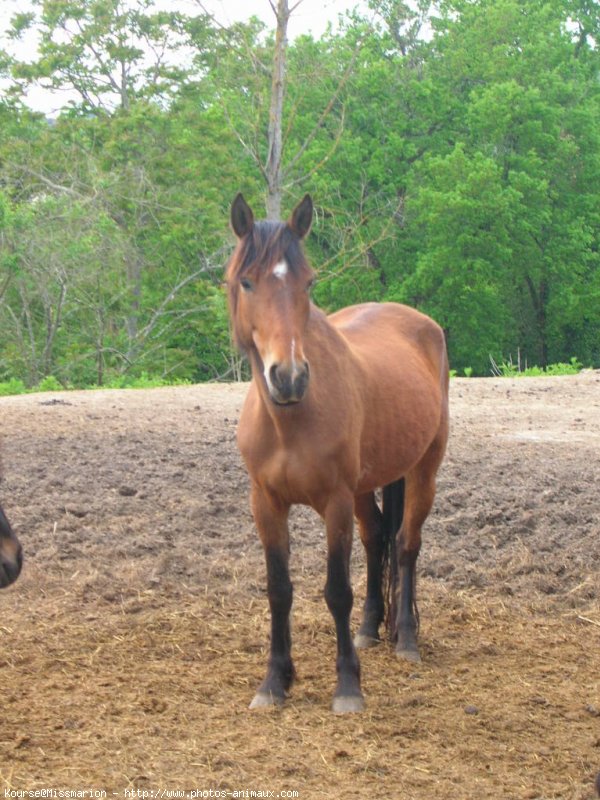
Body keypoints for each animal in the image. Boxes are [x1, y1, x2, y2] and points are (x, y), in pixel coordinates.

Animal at [227, 194, 448, 712]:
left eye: (308, 282)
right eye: (247, 281)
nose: (288, 377)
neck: (290, 421)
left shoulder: (335, 503)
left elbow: (336, 591)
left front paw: (348, 685)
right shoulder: (266, 504)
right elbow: (279, 590)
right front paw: (275, 680)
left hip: (422, 472)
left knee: (405, 546)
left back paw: (406, 639)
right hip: (368, 487)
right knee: (376, 541)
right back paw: (370, 629)